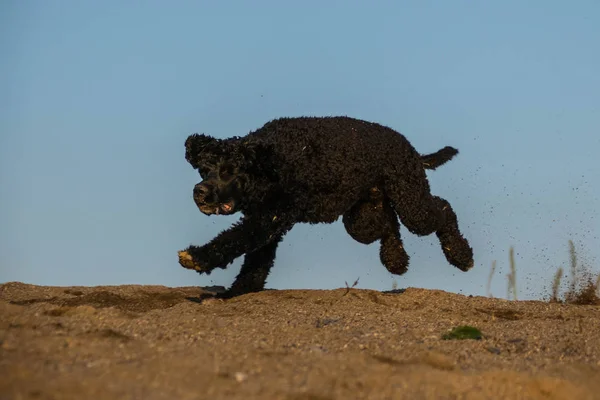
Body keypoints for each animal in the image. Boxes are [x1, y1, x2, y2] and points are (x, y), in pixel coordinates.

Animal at [178, 115, 474, 296]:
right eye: (204, 170)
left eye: (229, 171)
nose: (199, 192)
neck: (267, 164)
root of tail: (411, 149)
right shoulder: (268, 222)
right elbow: (255, 262)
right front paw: (239, 290)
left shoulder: (269, 217)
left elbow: (234, 239)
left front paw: (198, 257)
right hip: (362, 219)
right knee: (389, 223)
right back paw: (396, 260)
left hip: (410, 199)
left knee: (443, 208)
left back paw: (460, 255)